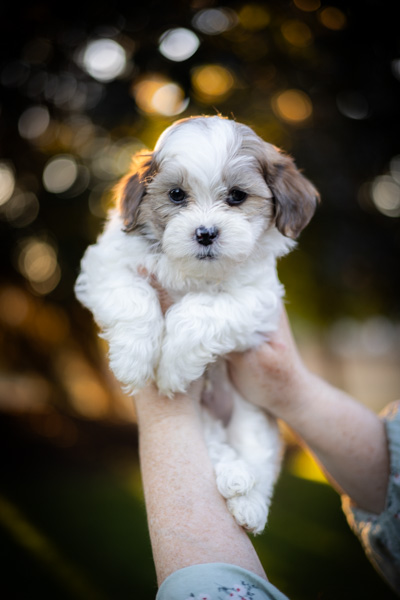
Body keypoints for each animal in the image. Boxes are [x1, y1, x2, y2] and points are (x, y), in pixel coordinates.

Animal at [76, 115, 318, 532]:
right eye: (176, 195)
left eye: (237, 196)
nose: (205, 233)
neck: (194, 273)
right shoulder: (107, 264)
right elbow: (135, 297)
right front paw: (133, 362)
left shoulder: (258, 299)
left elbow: (201, 310)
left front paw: (172, 365)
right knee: (218, 445)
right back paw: (235, 477)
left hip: (251, 412)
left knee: (258, 454)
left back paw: (247, 497)